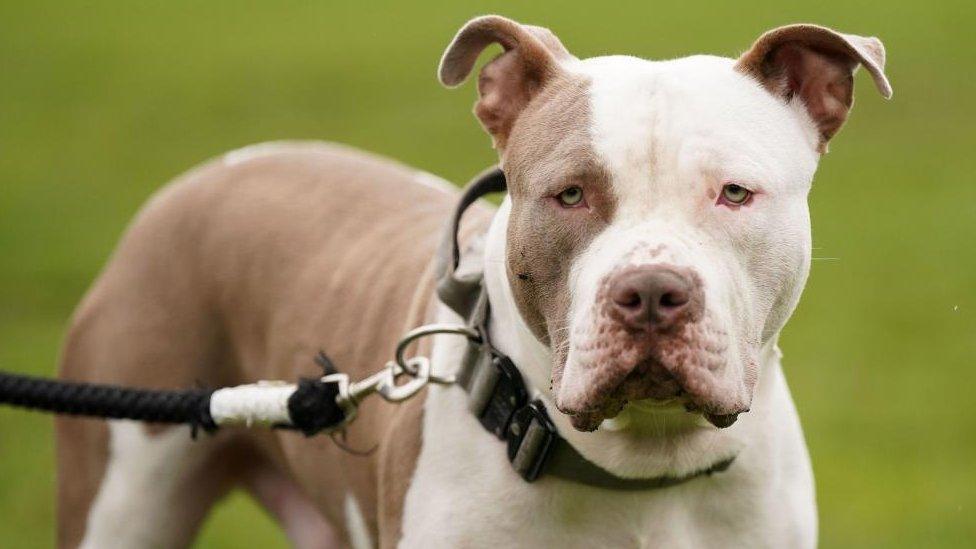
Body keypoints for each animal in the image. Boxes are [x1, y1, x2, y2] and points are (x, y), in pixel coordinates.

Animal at [55, 15, 892, 544]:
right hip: (122, 492)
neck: (643, 473)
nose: (652, 293)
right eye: (570, 194)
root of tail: (212, 172)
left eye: (734, 193)